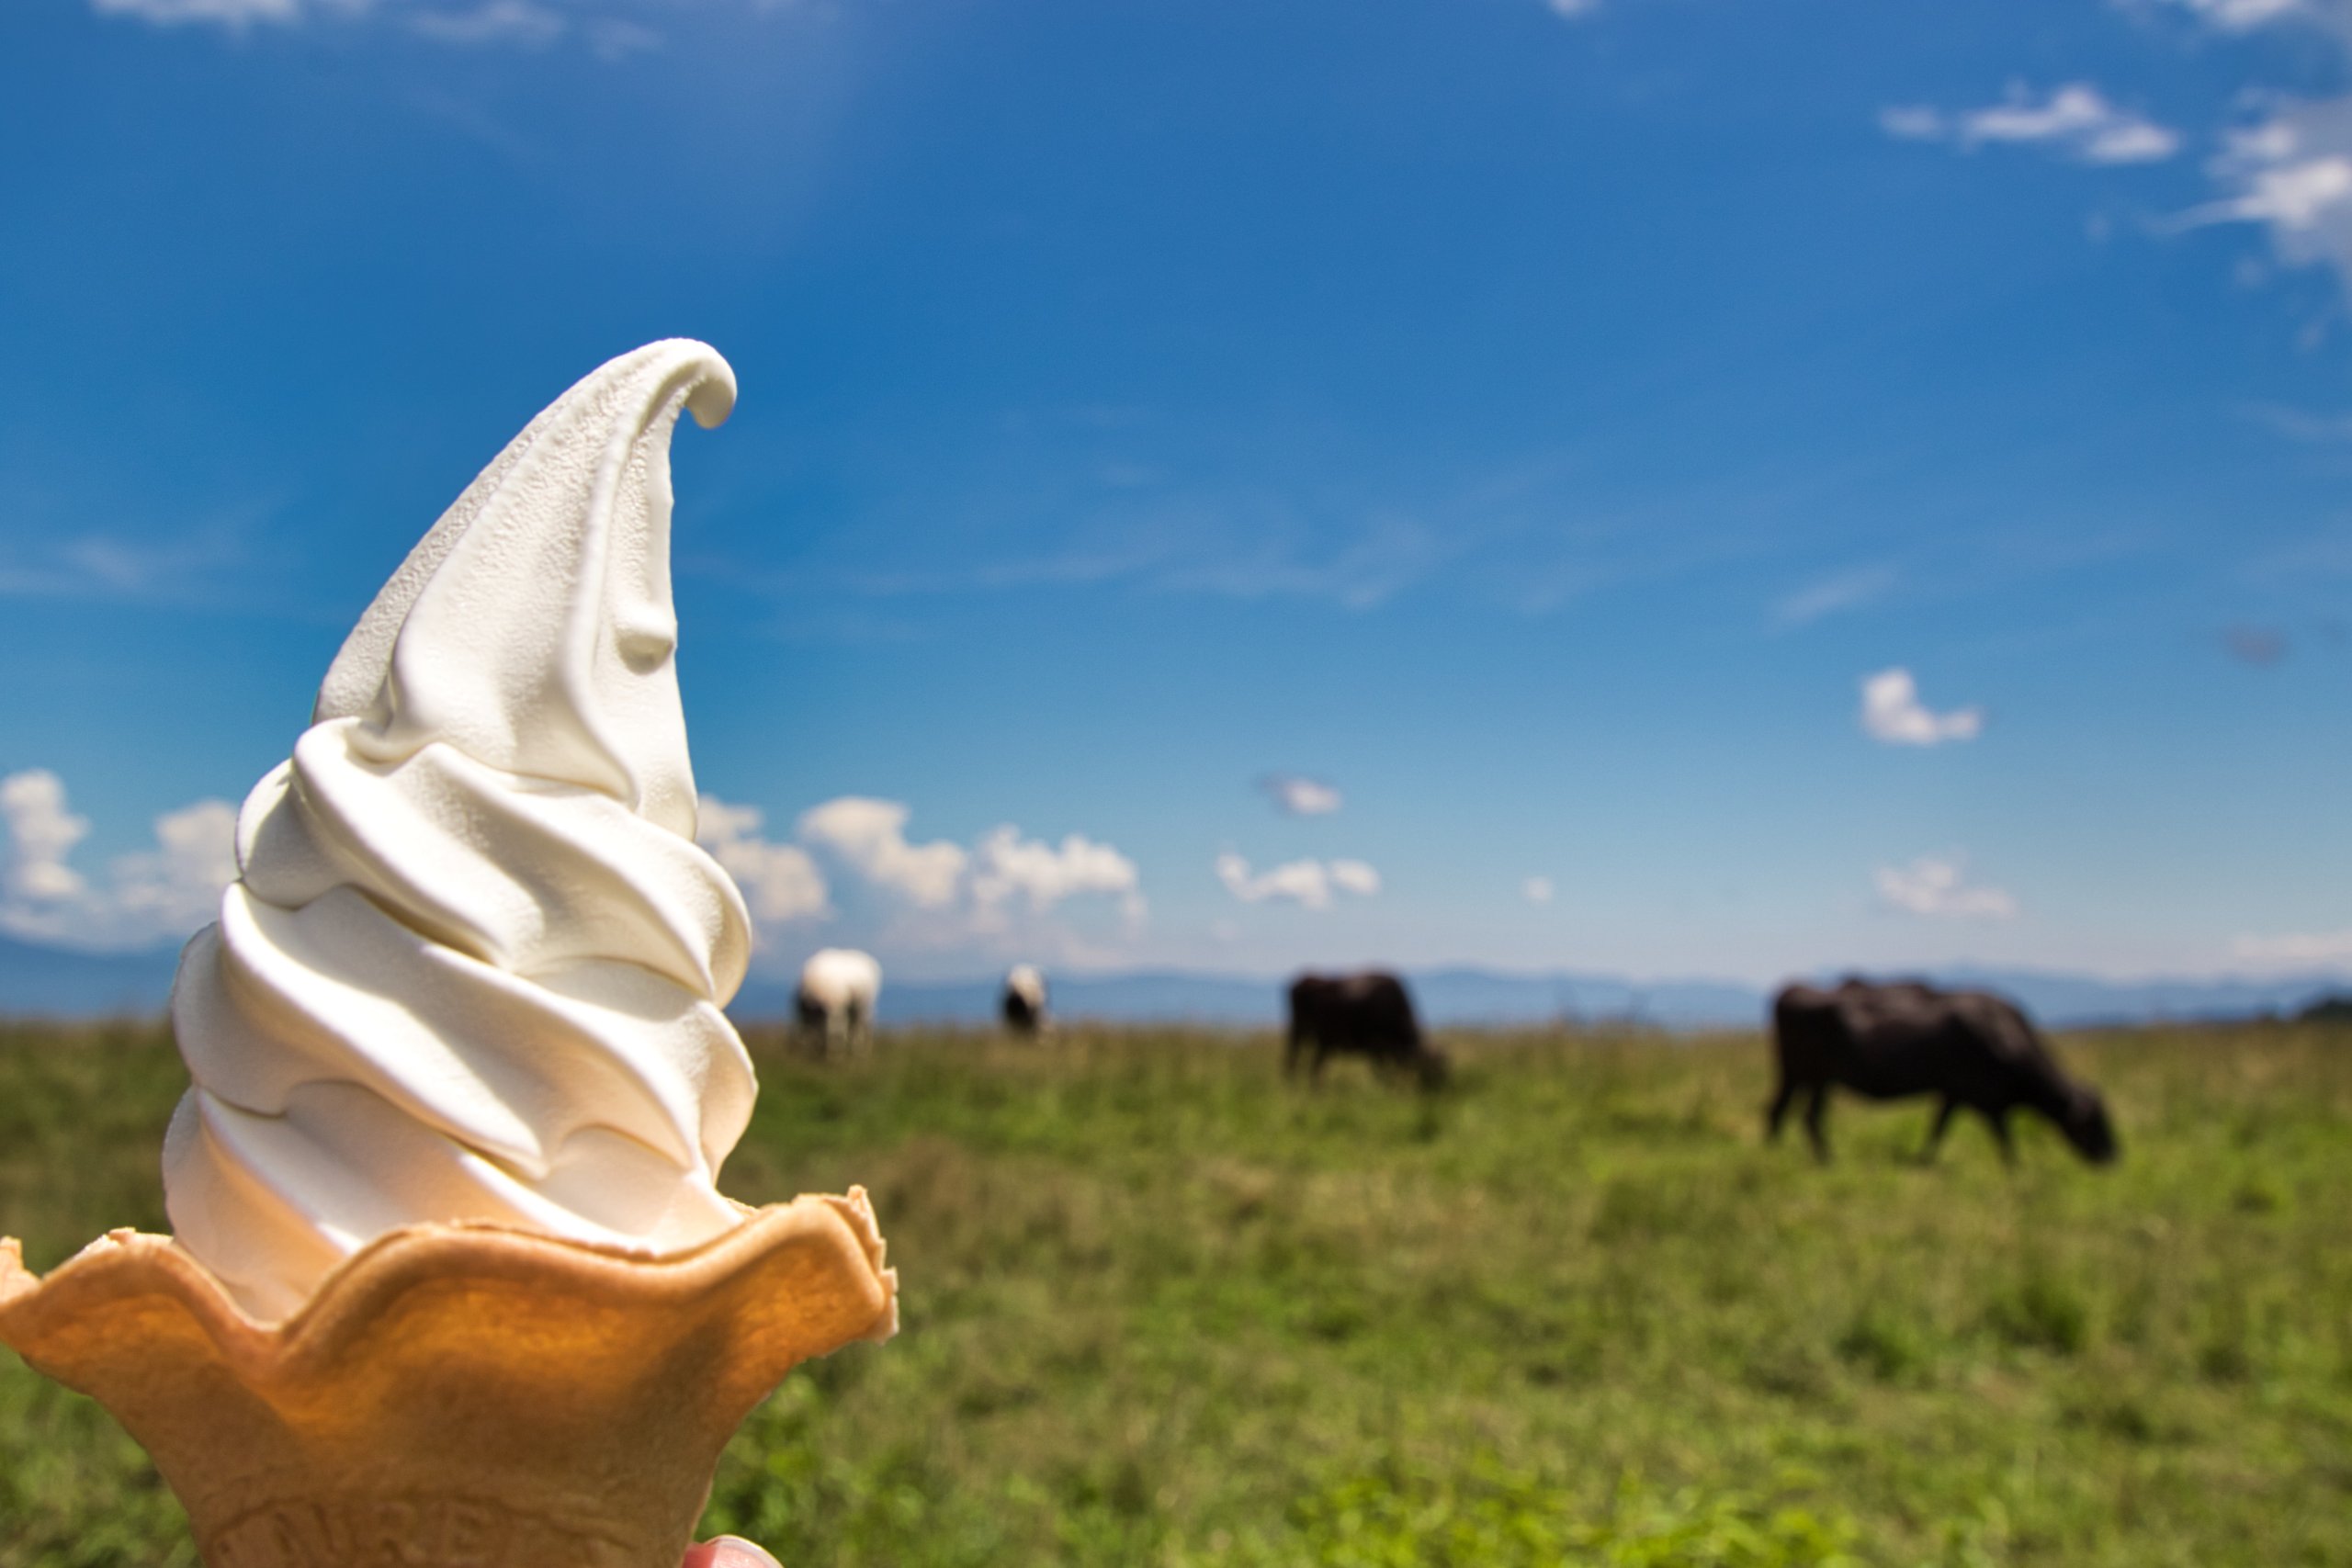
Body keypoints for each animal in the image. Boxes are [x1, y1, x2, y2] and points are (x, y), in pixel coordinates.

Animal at [1279, 968, 1439, 1090]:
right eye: (1429, 1071)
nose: (1437, 1091)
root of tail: (1302, 981)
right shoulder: (1375, 1048)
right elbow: (1381, 1071)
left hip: (1319, 1041)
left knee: (1314, 1065)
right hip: (1301, 1031)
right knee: (1295, 1056)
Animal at [1769, 982, 2126, 1166]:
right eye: (2095, 1123)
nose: (2115, 1157)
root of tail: (1794, 991)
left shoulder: (1952, 1094)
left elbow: (1938, 1128)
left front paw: (1922, 1160)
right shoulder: (1984, 1097)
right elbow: (2003, 1135)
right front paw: (2015, 1167)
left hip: (1808, 1078)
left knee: (1787, 1112)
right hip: (1812, 1076)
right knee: (1802, 1116)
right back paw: (1821, 1160)